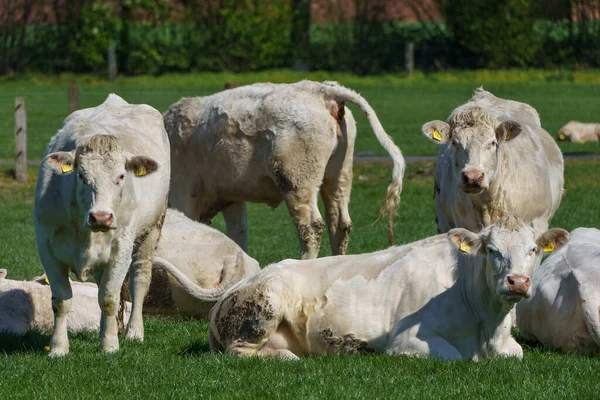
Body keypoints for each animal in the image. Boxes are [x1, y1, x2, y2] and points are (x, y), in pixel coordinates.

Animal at [34, 94, 170, 356]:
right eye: (81, 176)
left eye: (121, 176)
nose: (101, 217)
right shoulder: (47, 248)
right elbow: (61, 301)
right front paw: (58, 347)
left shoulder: (121, 249)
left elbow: (109, 298)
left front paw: (110, 345)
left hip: (152, 231)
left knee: (139, 280)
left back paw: (134, 331)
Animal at [164, 79, 406, 260]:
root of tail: (322, 90)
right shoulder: (230, 196)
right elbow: (238, 235)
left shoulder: (182, 191)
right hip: (339, 176)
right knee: (339, 224)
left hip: (297, 181)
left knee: (311, 228)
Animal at [210, 217, 568, 360]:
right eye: (491, 250)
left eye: (533, 250)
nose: (517, 282)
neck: (486, 325)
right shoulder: (404, 340)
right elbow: (456, 356)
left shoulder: (509, 346)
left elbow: (517, 354)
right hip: (265, 304)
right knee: (239, 351)